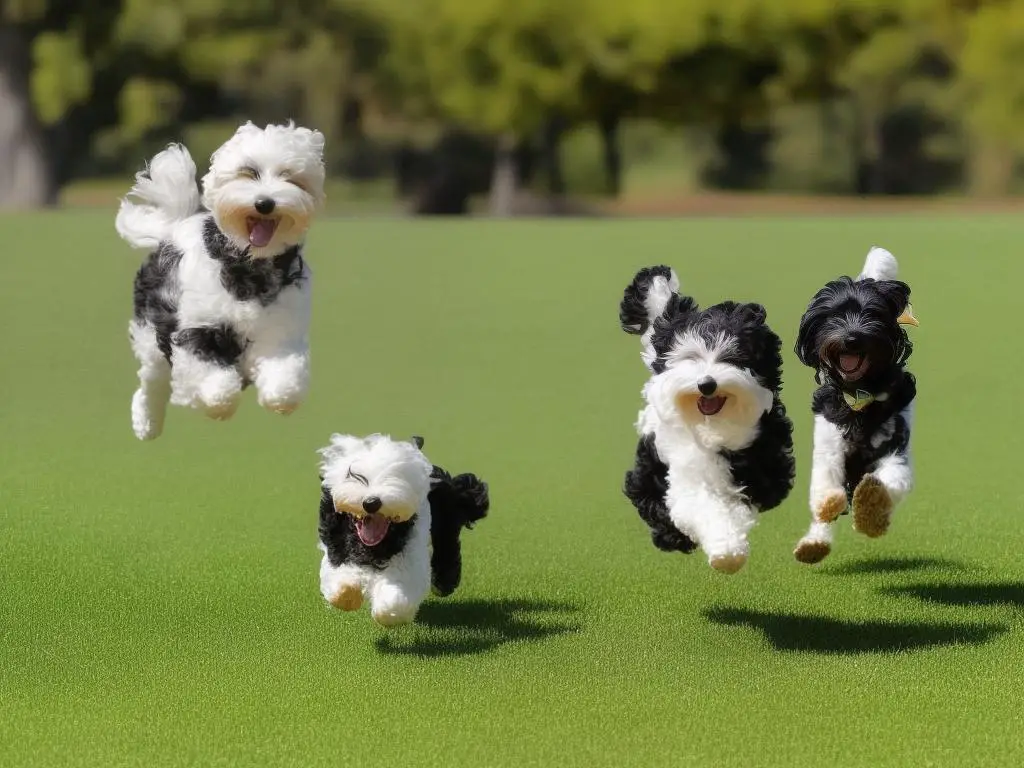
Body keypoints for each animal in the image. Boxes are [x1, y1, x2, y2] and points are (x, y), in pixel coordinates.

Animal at [115, 123, 323, 442]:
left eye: (289, 177)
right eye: (248, 172)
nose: (265, 203)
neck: (248, 267)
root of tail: (172, 228)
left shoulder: (280, 333)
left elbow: (285, 389)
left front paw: (274, 397)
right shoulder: (196, 329)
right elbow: (218, 388)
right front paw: (214, 404)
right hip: (150, 334)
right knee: (152, 381)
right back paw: (146, 423)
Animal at [317, 434, 489, 626]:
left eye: (396, 477)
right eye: (353, 475)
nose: (371, 502)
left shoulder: (409, 555)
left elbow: (396, 597)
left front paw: (388, 613)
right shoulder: (336, 547)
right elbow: (340, 580)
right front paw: (347, 596)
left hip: (445, 519)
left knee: (446, 547)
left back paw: (443, 584)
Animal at [618, 268, 794, 573]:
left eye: (733, 357)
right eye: (691, 357)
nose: (707, 384)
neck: (715, 426)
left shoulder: (764, 464)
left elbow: (742, 502)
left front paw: (730, 548)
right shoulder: (687, 466)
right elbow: (704, 506)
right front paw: (727, 552)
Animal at [790, 247, 921, 565]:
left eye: (871, 314)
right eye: (833, 316)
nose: (851, 338)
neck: (860, 396)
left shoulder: (896, 450)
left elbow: (888, 482)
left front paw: (871, 507)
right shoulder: (828, 444)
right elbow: (824, 488)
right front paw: (828, 504)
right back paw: (813, 544)